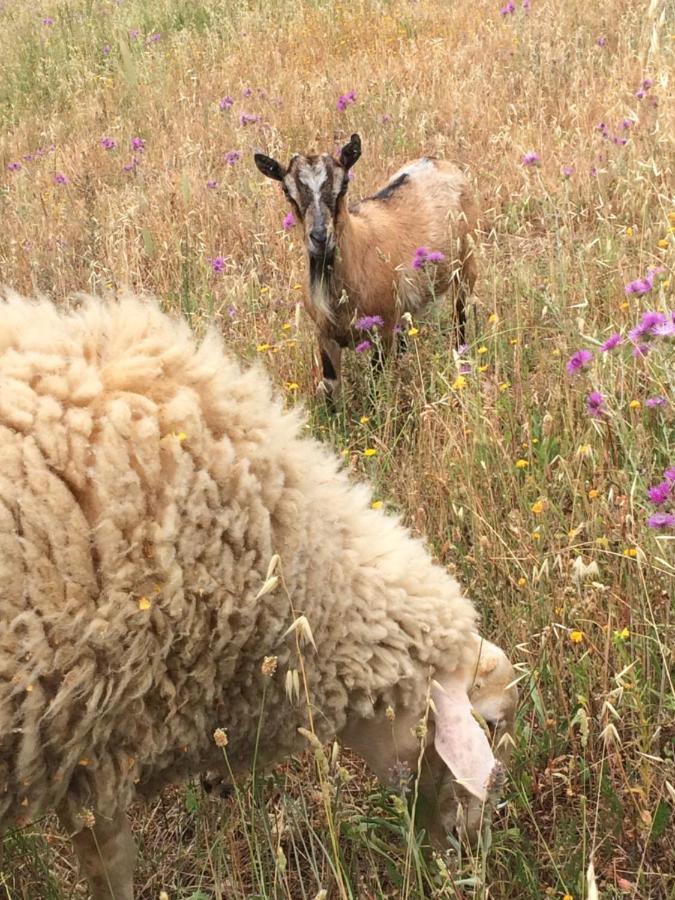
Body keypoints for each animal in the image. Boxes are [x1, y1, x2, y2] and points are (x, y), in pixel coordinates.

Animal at [254, 132, 480, 400]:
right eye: (287, 191)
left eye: (343, 185)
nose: (320, 237)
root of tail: (436, 161)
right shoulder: (325, 335)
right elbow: (330, 388)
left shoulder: (383, 331)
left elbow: (376, 382)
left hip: (466, 266)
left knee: (460, 317)